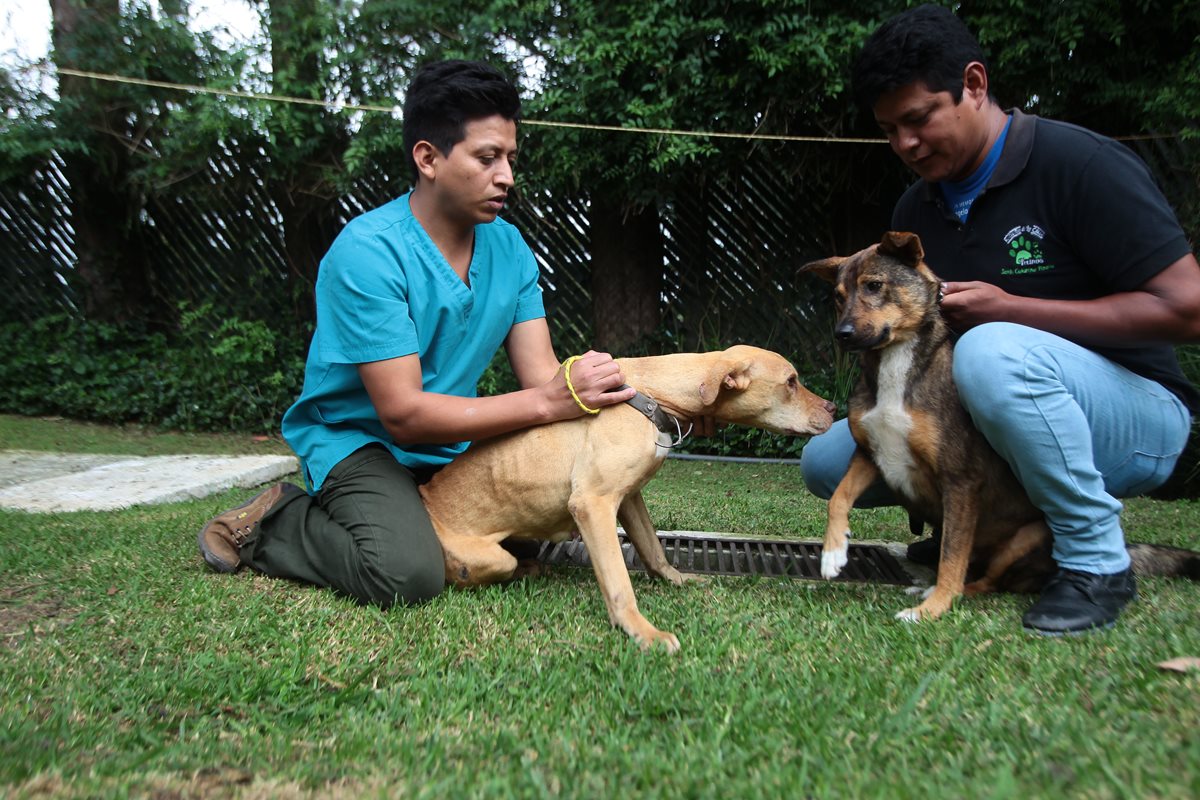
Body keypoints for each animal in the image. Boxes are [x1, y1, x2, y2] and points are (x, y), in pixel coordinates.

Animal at [415, 345, 835, 652]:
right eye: (791, 381)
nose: (834, 408)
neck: (654, 393)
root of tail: (425, 497)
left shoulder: (630, 498)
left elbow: (653, 549)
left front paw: (677, 579)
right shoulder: (593, 504)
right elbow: (619, 584)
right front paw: (640, 631)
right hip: (489, 558)